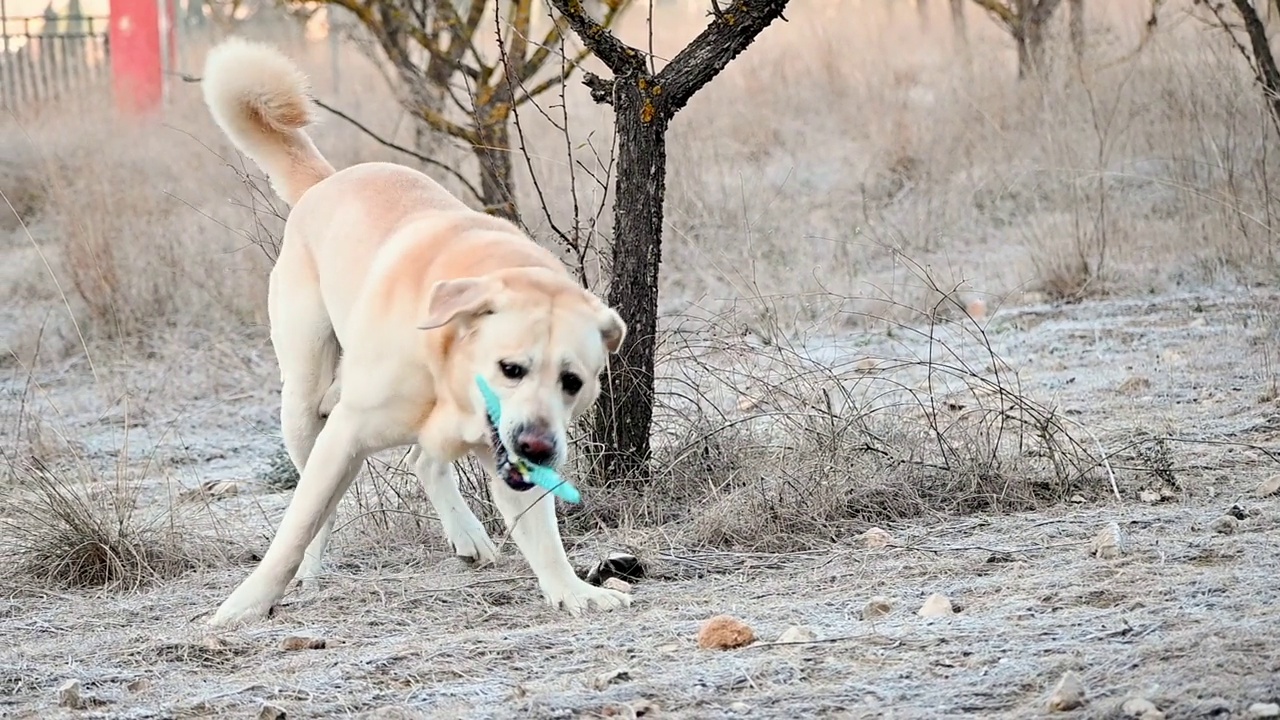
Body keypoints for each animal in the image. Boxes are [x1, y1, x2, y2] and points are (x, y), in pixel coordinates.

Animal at [198, 37, 629, 622]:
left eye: (573, 382)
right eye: (511, 368)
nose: (538, 447)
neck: (446, 371)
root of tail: (327, 181)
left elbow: (542, 536)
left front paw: (573, 591)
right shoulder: (346, 434)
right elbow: (297, 525)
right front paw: (248, 603)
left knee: (423, 460)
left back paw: (467, 535)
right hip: (303, 403)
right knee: (316, 493)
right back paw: (309, 567)